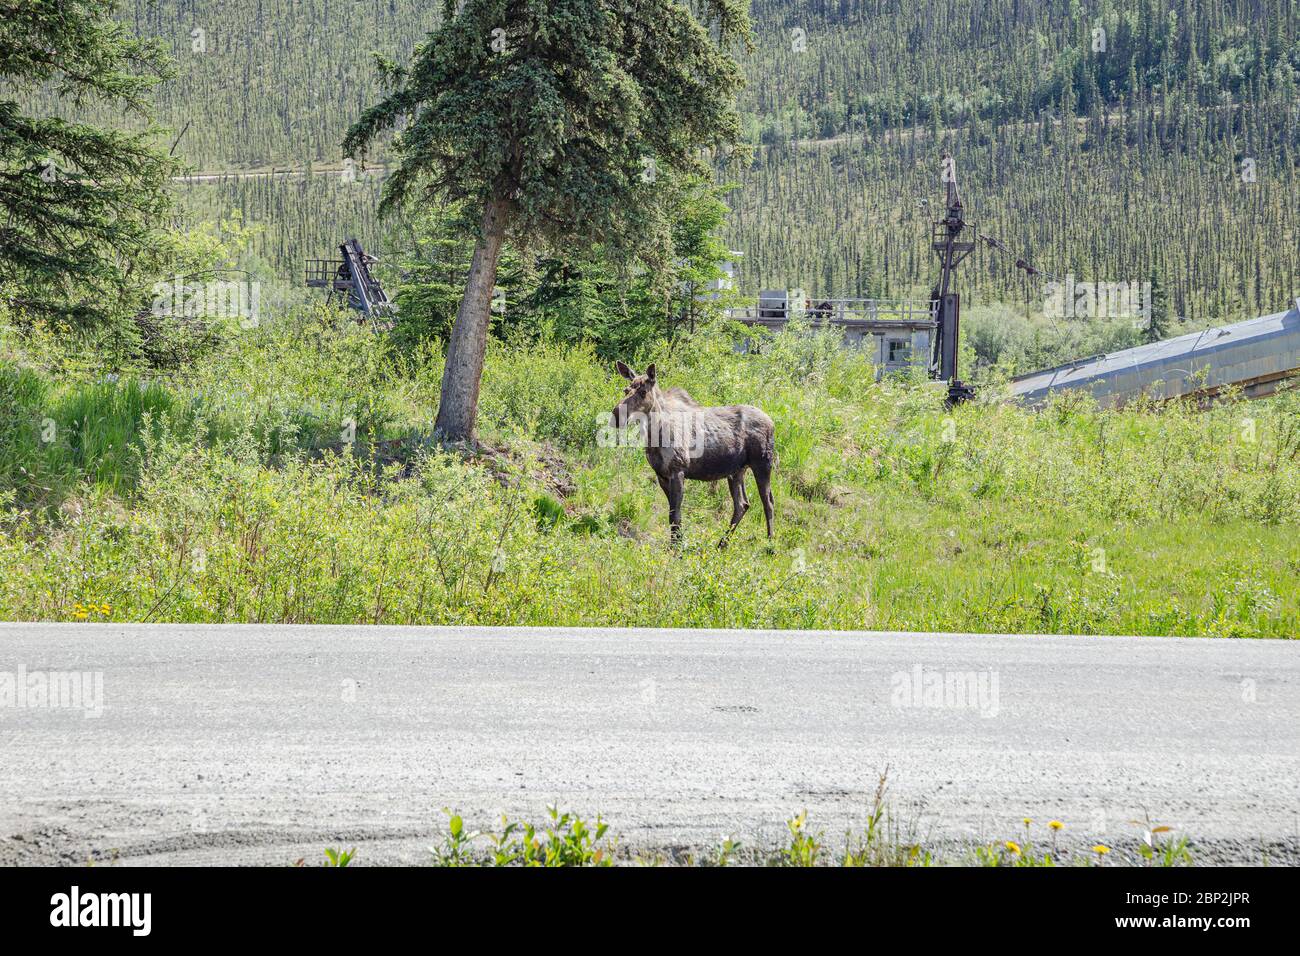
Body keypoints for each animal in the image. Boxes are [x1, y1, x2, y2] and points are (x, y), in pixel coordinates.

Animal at [611, 361, 774, 546]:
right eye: (626, 390)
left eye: (643, 392)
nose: (616, 414)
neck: (654, 436)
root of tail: (772, 422)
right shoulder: (661, 475)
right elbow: (674, 515)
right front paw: (678, 542)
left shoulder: (678, 470)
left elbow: (675, 516)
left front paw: (676, 547)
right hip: (736, 471)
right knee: (742, 504)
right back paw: (722, 544)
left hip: (762, 464)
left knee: (768, 503)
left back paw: (770, 543)